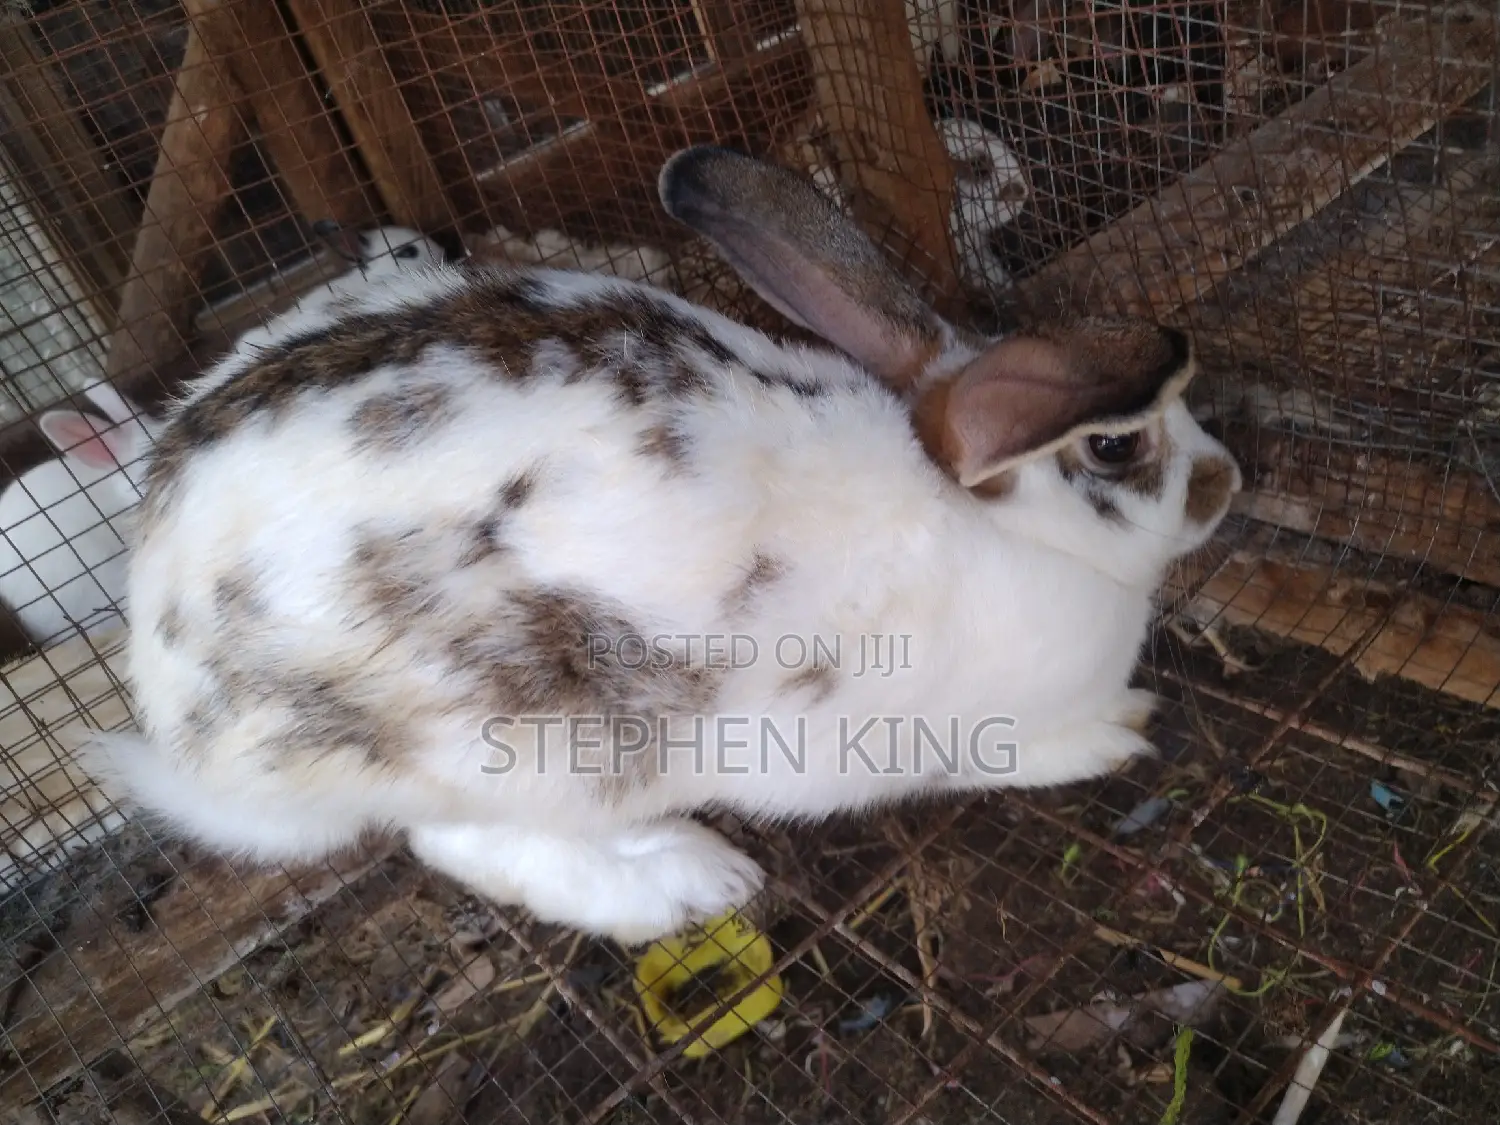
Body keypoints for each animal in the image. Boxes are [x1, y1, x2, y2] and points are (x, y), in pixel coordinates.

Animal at [77, 144, 1242, 947]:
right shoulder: (959, 731)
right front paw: (1123, 731)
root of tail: (172, 677)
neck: (999, 529)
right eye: (1116, 446)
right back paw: (690, 880)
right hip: (531, 750)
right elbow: (1041, 748)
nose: (1228, 480)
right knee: (467, 843)